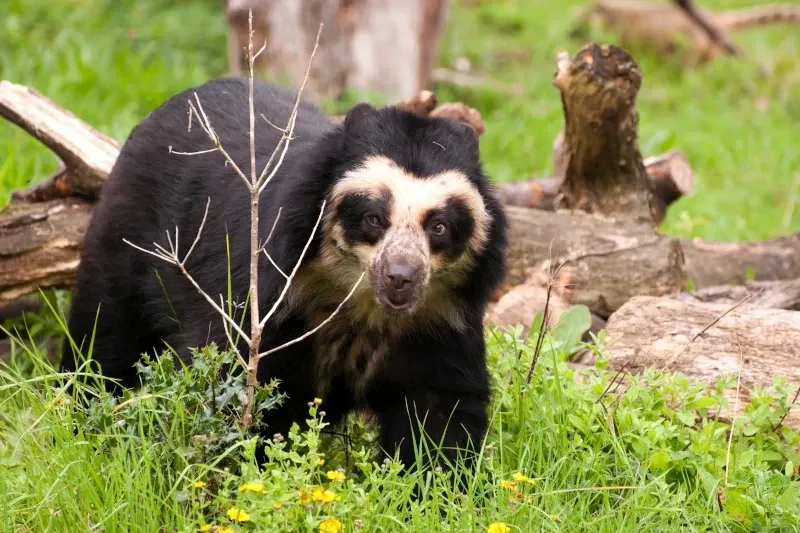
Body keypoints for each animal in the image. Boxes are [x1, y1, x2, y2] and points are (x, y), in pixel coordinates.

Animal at [61, 76, 508, 476]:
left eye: (440, 226)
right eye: (373, 218)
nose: (402, 277)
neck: (358, 301)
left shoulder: (441, 316)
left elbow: (441, 408)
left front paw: (434, 487)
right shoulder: (270, 293)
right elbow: (237, 379)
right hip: (128, 237)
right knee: (105, 335)